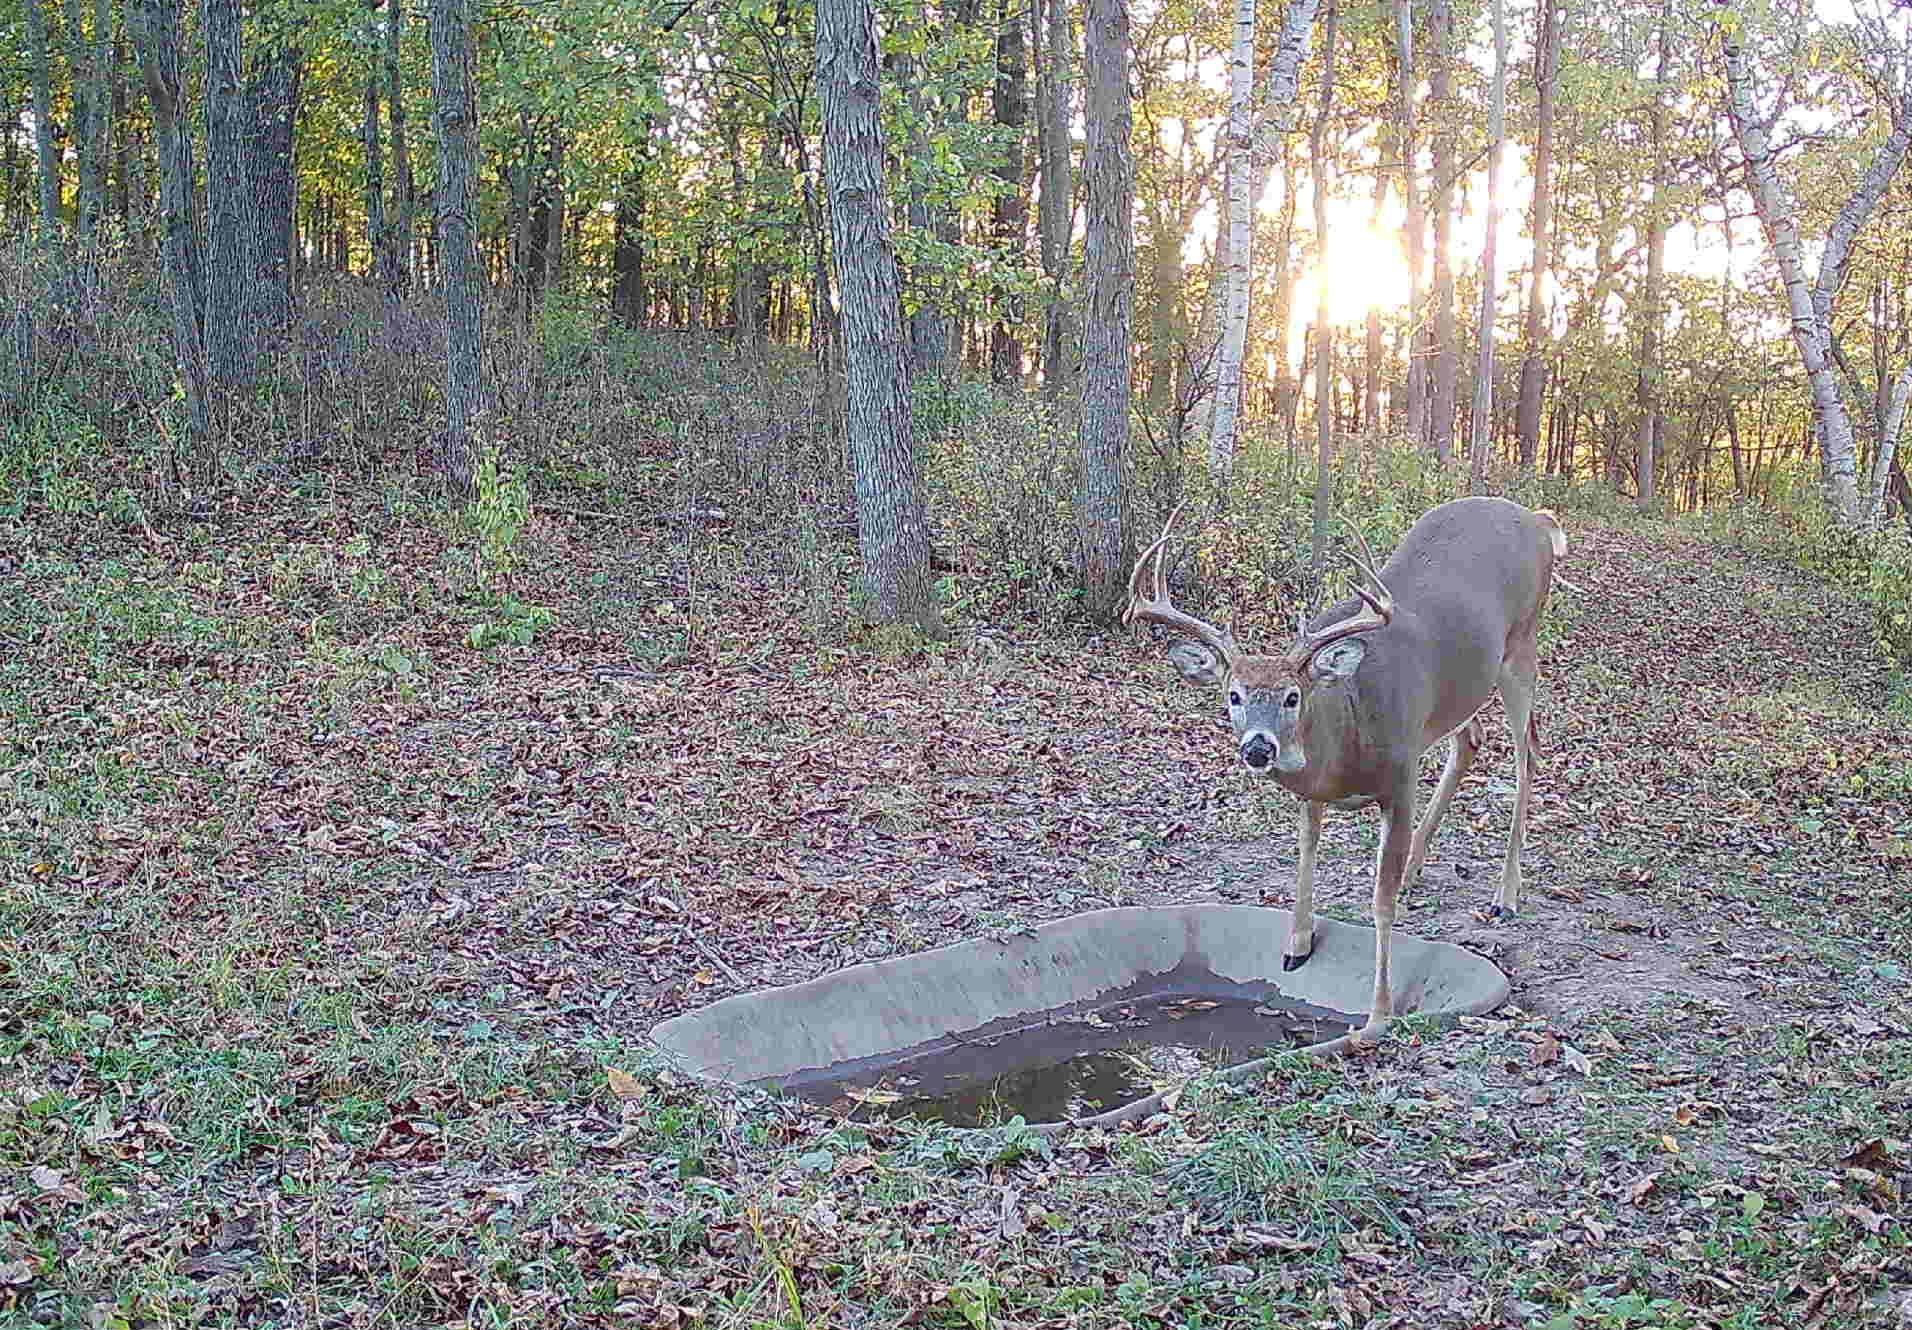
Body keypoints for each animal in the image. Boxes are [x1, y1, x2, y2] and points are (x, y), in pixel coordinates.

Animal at [1125, 496, 1567, 1040]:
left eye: (1293, 696)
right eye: (1234, 695)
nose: (1258, 749)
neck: (1348, 731)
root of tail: (1536, 518)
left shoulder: (1401, 777)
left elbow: (1380, 899)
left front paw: (1377, 1016)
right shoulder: (1314, 794)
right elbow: (1305, 857)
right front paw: (1295, 947)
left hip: (1522, 646)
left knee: (1529, 750)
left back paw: (1505, 893)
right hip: (1463, 689)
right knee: (1471, 741)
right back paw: (1417, 867)